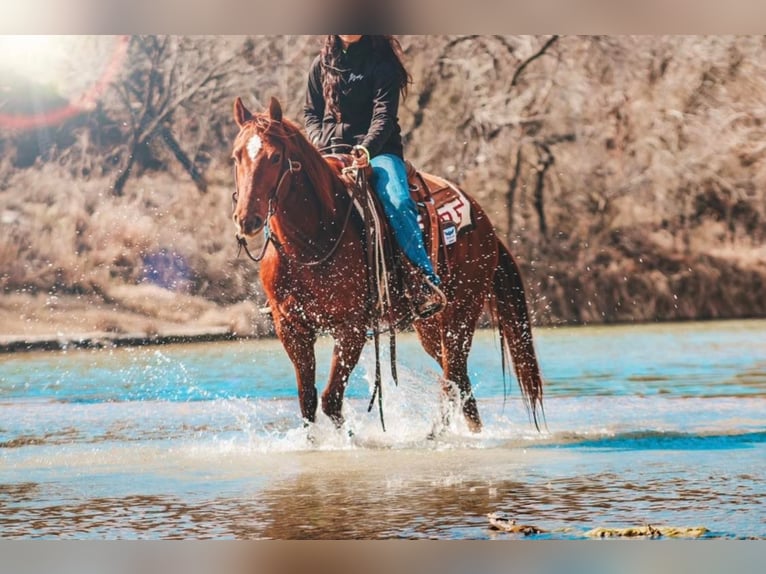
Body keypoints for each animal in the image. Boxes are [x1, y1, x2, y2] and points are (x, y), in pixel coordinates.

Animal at [231, 97, 544, 434]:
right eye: (237, 156)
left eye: (275, 157)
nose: (246, 219)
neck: (310, 242)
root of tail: (484, 222)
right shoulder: (290, 328)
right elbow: (308, 403)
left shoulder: (351, 327)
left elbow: (331, 399)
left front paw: (350, 440)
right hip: (430, 325)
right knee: (460, 382)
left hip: (462, 311)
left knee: (452, 379)